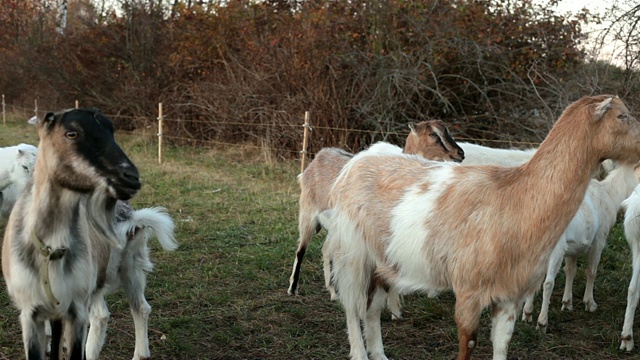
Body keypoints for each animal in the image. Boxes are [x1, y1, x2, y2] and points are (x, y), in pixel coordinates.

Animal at [1, 109, 141, 360]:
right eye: (71, 133)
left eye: (111, 131)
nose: (131, 177)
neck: (50, 246)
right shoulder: (30, 312)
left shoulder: (77, 309)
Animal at [288, 119, 462, 306]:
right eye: (433, 134)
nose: (459, 153)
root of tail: (319, 157)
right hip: (308, 214)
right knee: (301, 249)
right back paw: (293, 289)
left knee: (327, 250)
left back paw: (333, 292)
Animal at [520, 162, 640, 330]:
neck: (609, 193)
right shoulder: (599, 240)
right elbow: (591, 271)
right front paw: (590, 303)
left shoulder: (573, 247)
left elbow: (571, 270)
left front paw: (567, 303)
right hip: (556, 248)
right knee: (548, 282)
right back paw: (542, 321)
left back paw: (527, 314)